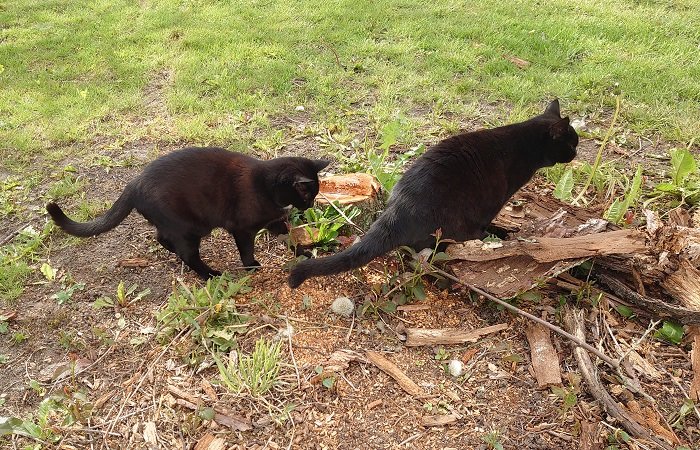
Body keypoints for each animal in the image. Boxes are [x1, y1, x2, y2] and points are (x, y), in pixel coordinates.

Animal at [49, 148, 328, 280]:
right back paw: (210, 274)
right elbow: (247, 250)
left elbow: (290, 240)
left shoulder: (275, 223)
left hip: (181, 227)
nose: (310, 206)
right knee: (187, 254)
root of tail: (134, 183)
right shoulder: (242, 229)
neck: (265, 186)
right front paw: (251, 266)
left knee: (162, 238)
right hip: (190, 228)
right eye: (307, 195)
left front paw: (304, 254)